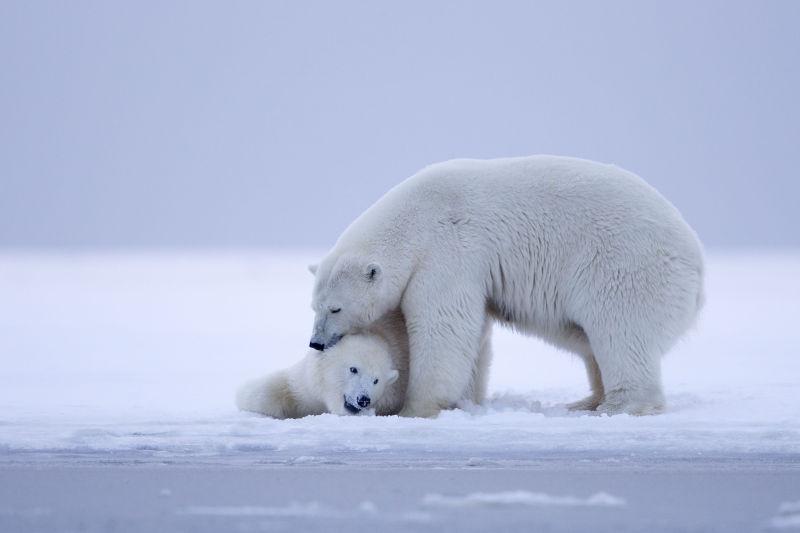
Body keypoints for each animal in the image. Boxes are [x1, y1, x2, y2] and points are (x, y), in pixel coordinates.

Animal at [306, 156, 700, 418]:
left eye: (335, 308)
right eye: (315, 307)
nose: (316, 343)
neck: (416, 217)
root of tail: (696, 265)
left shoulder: (448, 252)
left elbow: (444, 327)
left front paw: (415, 408)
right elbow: (473, 335)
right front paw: (466, 400)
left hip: (624, 266)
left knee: (619, 331)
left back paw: (620, 404)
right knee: (591, 341)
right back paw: (587, 400)